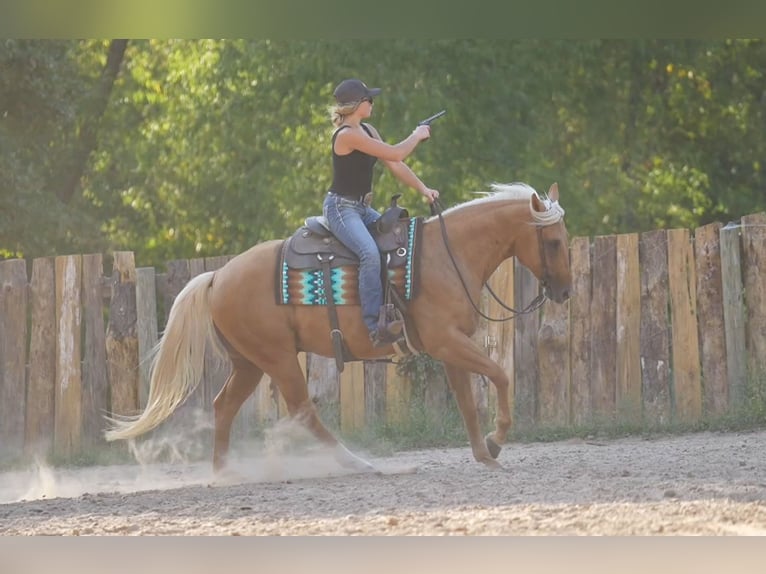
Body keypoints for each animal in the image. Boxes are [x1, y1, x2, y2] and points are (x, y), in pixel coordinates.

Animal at [104, 181, 571, 472]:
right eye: (553, 243)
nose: (565, 290)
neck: (445, 255)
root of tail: (218, 276)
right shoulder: (447, 341)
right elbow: (500, 375)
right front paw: (497, 439)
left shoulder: (451, 346)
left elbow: (467, 401)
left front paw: (484, 451)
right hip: (277, 358)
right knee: (302, 411)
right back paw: (357, 463)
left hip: (249, 363)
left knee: (224, 406)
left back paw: (223, 472)